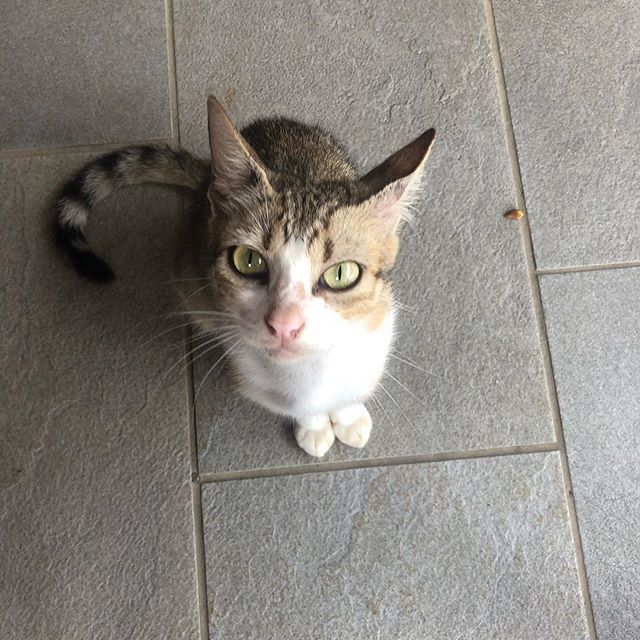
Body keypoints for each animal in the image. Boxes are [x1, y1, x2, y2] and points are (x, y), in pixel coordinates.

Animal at [55, 95, 436, 458]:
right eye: (247, 260)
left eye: (341, 273)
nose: (284, 325)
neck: (309, 373)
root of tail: (208, 178)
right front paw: (314, 425)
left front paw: (348, 414)